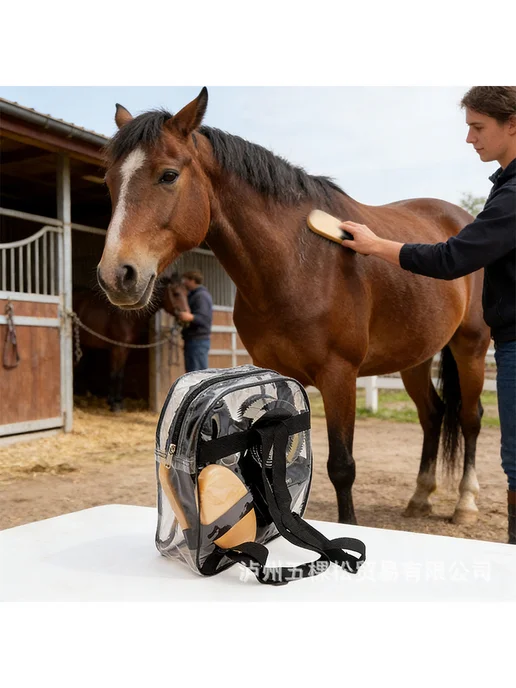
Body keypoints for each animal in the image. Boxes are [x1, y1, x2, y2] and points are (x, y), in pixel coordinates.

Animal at [73, 274, 189, 411]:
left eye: (187, 293)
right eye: (176, 294)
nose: (187, 318)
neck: (127, 316)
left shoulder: (125, 349)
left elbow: (121, 374)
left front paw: (118, 401)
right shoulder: (117, 349)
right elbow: (114, 374)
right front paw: (113, 404)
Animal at [96, 88, 490, 526]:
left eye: (168, 175)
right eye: (110, 181)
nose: (117, 275)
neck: (296, 265)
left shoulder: (340, 376)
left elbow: (342, 466)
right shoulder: (273, 372)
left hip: (471, 347)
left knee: (470, 419)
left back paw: (465, 502)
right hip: (415, 358)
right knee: (433, 415)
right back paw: (420, 497)